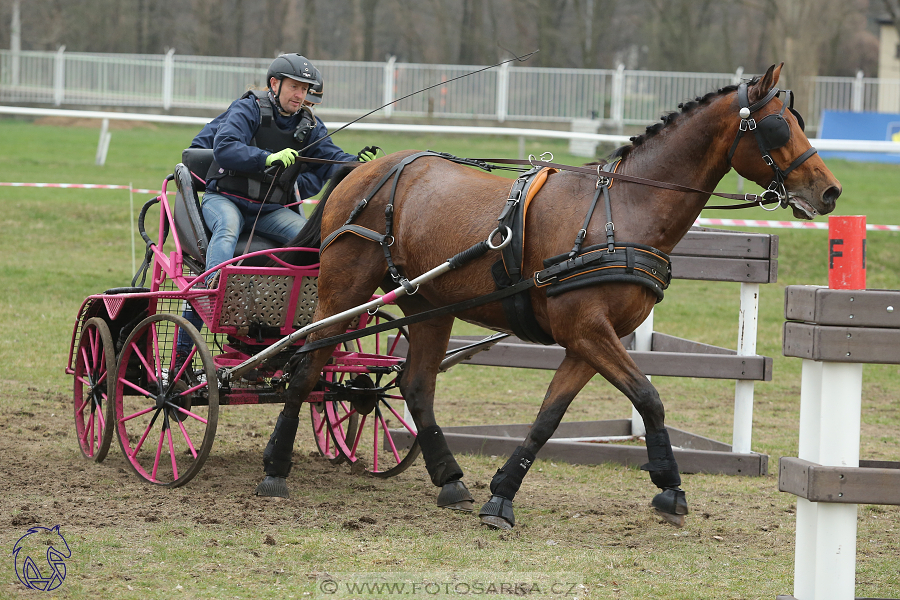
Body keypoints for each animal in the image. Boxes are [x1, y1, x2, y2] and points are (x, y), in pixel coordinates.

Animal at [256, 63, 840, 528]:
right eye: (776, 125)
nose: (830, 191)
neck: (622, 213)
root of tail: (367, 169)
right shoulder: (588, 331)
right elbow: (648, 395)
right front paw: (669, 482)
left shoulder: (590, 340)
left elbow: (550, 417)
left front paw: (502, 496)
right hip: (343, 290)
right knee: (307, 367)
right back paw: (275, 468)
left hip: (427, 305)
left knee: (415, 385)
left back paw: (449, 478)